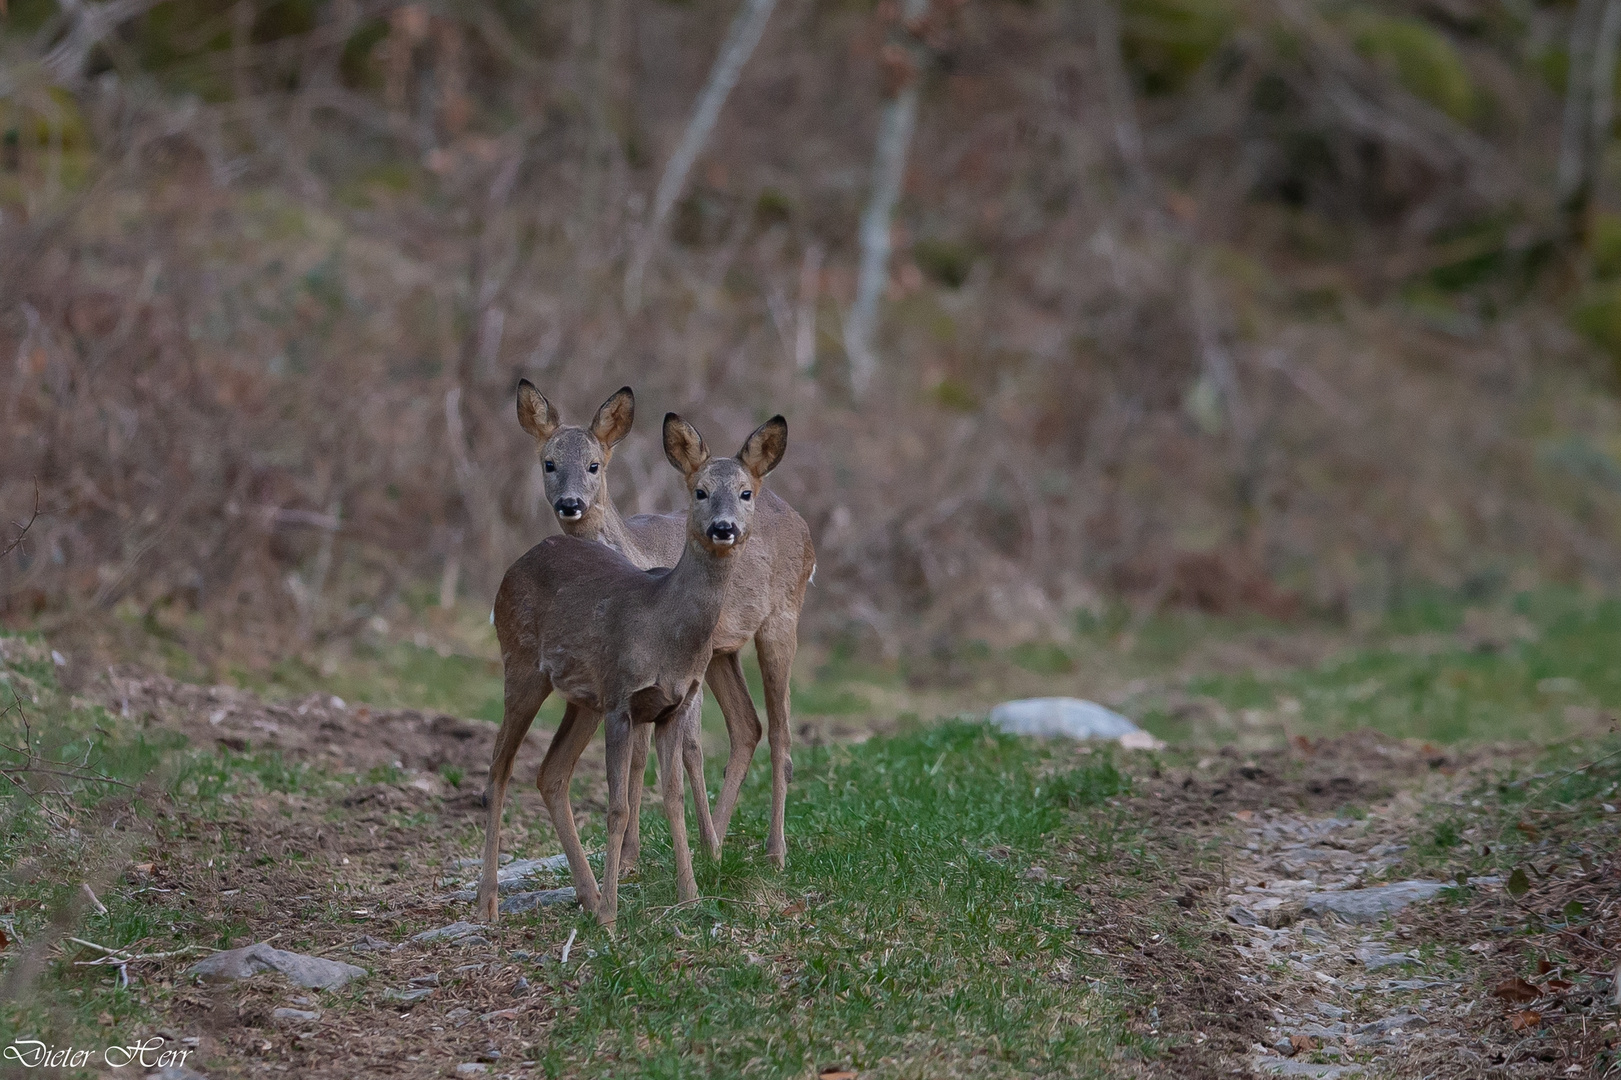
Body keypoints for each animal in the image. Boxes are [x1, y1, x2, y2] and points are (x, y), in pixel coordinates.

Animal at [476, 411, 787, 927]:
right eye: (699, 492)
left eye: (746, 493)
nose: (723, 528)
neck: (663, 626)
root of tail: (518, 562)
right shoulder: (622, 701)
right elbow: (618, 807)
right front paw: (612, 914)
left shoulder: (669, 707)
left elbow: (673, 797)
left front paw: (689, 896)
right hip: (520, 665)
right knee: (499, 769)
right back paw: (490, 902)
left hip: (583, 699)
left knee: (550, 774)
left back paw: (584, 894)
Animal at [518, 377, 816, 869]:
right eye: (549, 463)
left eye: (594, 465)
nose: (570, 503)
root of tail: (800, 521)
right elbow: (642, 753)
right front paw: (631, 858)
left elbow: (681, 750)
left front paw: (660, 854)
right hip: (724, 651)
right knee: (747, 726)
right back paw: (719, 838)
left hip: (782, 618)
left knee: (780, 731)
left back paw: (773, 850)